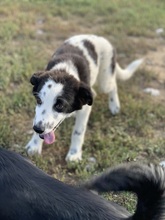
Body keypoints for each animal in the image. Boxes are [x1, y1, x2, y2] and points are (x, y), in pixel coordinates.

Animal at [25, 34, 143, 162]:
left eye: (60, 105)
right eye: (38, 100)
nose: (37, 128)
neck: (64, 70)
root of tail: (98, 37)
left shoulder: (85, 110)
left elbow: (78, 132)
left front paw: (74, 154)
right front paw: (34, 146)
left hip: (105, 81)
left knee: (113, 85)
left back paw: (114, 105)